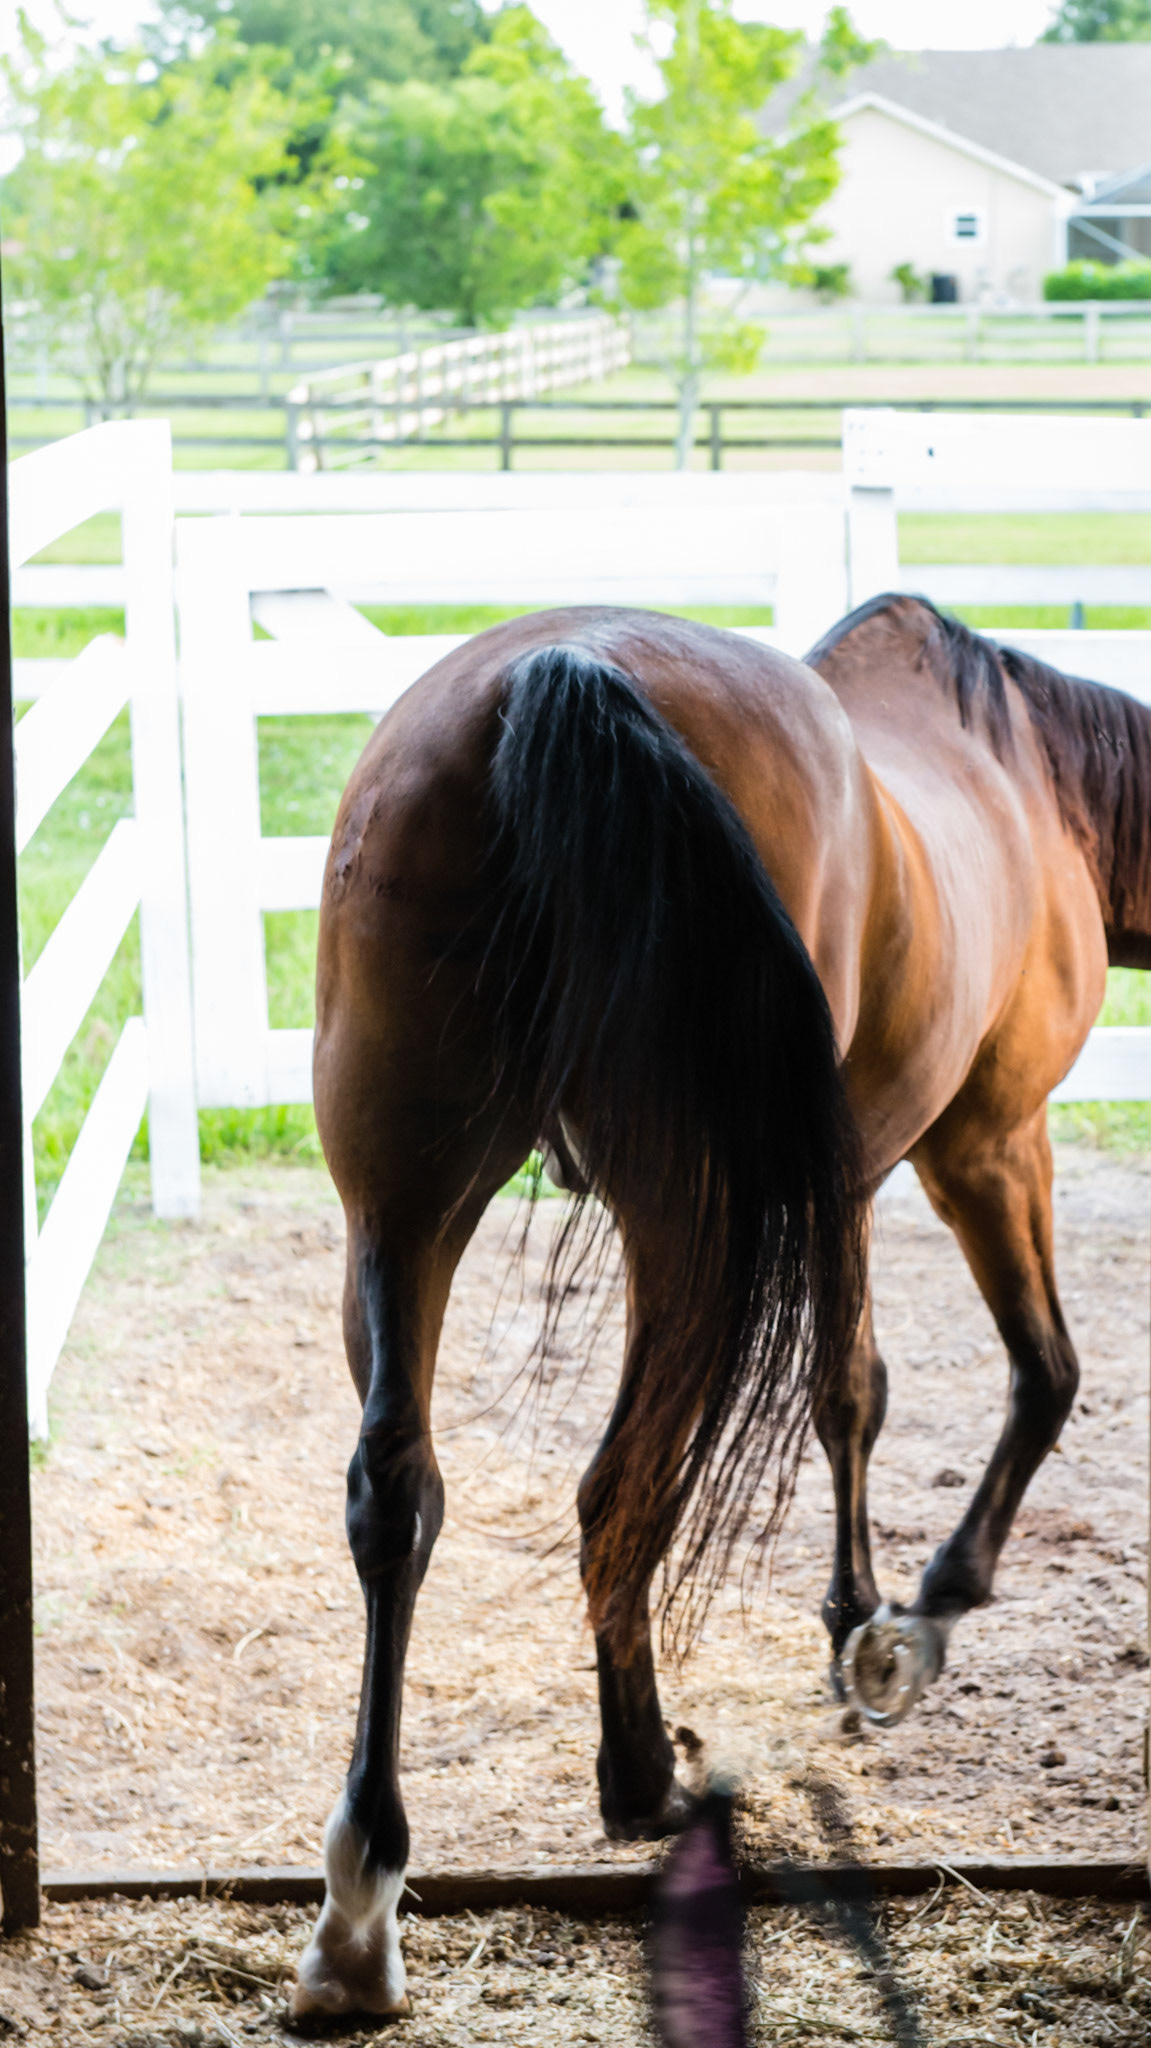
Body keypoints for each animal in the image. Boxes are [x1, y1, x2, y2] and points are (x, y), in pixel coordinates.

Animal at [291, 592, 1146, 2018]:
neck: (1025, 774)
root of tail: (558, 672)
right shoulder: (977, 1140)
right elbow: (1023, 1373)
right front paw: (903, 1623)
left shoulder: (839, 1176)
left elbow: (848, 1388)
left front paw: (858, 1616)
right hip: (684, 1218)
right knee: (621, 1486)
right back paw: (640, 1776)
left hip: (400, 1192)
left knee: (393, 1492)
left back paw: (360, 1904)